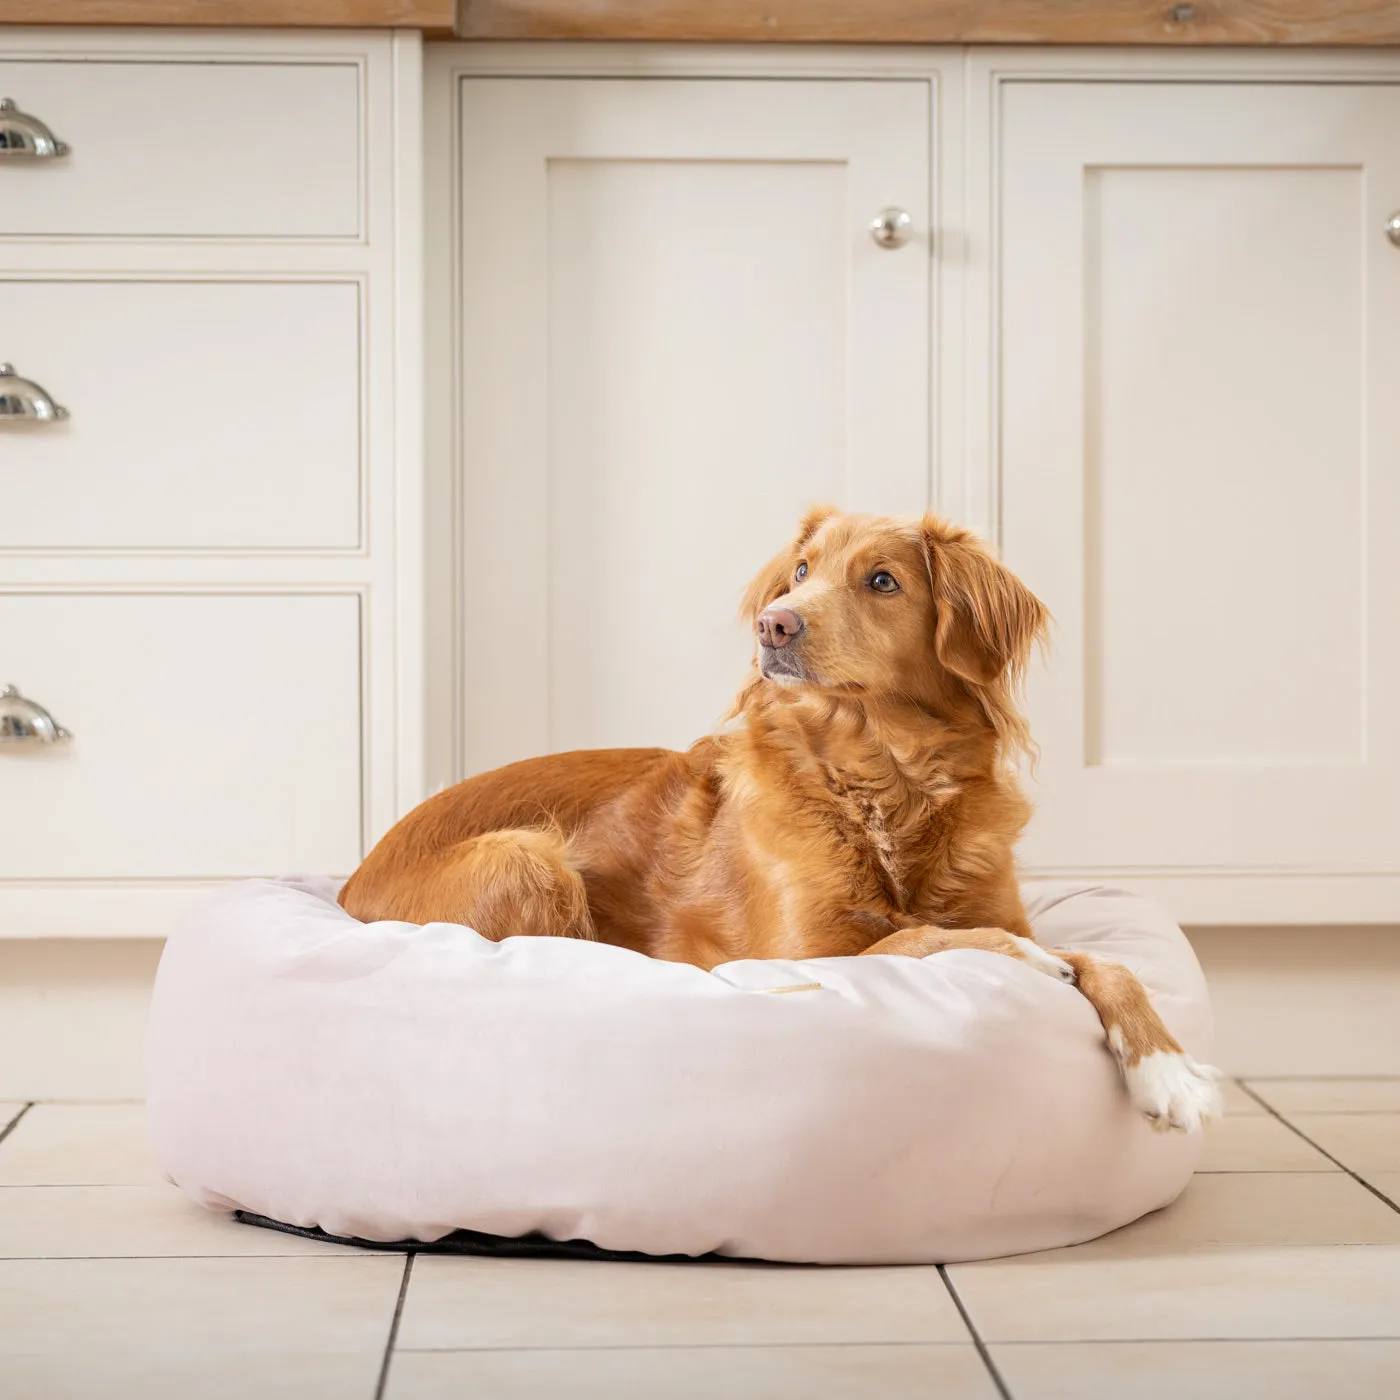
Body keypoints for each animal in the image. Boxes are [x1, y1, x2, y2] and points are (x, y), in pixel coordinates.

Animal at [344, 509, 1220, 1131]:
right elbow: (918, 938)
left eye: (882, 581)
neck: (885, 779)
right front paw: (1025, 963)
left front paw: (1168, 1068)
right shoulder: (801, 952)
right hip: (531, 856)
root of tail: (351, 882)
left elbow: (1111, 963)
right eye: (801, 571)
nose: (776, 623)